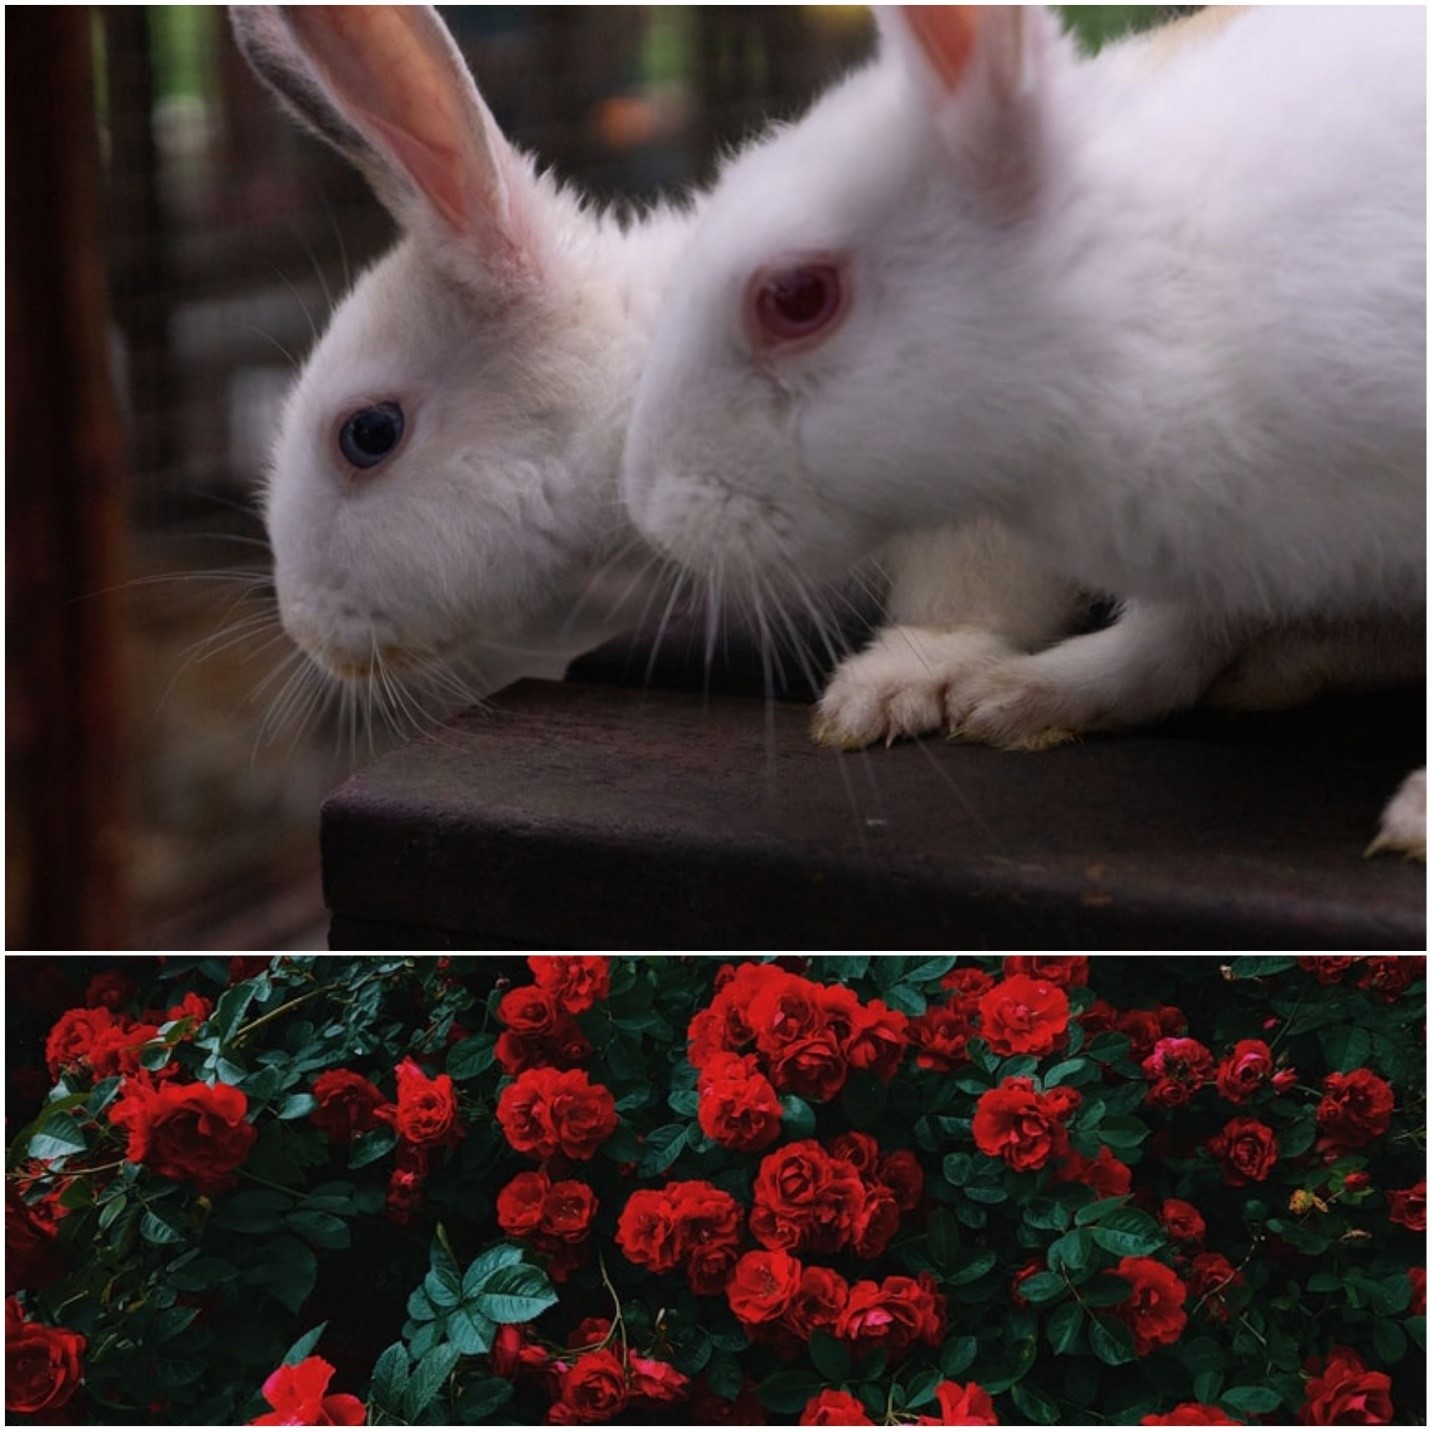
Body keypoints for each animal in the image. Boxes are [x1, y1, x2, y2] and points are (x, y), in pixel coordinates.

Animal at [619, 5, 1426, 855]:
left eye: (796, 296)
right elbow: (1162, 652)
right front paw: (1019, 698)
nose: (648, 511)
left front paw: (1416, 817)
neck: (1140, 313)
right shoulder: (1232, 552)